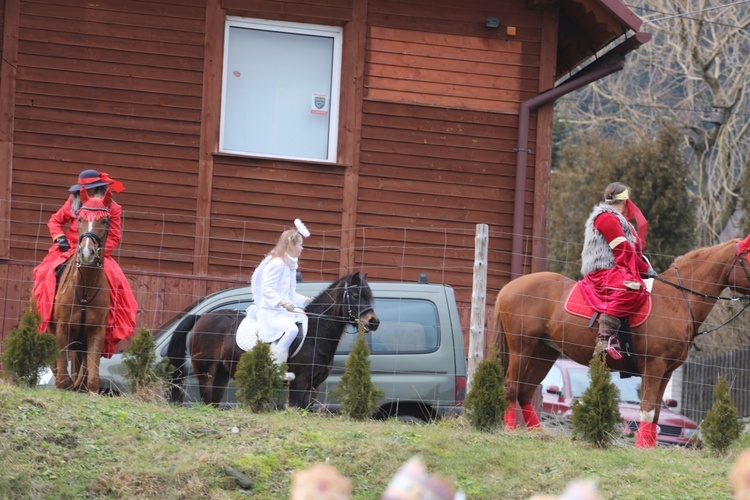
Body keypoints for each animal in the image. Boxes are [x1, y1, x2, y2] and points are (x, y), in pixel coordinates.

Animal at [48, 191, 111, 394]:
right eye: (80, 218)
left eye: (104, 220)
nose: (86, 253)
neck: (84, 288)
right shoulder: (62, 328)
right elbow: (63, 379)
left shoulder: (96, 331)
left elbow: (91, 380)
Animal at [163, 272, 376, 408]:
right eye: (355, 295)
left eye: (369, 297)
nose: (374, 322)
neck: (316, 334)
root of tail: (203, 316)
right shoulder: (299, 382)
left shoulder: (314, 386)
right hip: (206, 371)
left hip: (221, 374)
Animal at [494, 236, 750, 448]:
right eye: (748, 257)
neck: (677, 299)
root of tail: (509, 287)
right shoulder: (654, 367)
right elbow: (647, 410)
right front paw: (643, 448)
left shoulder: (666, 372)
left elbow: (656, 413)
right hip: (522, 349)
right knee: (511, 387)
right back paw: (510, 430)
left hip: (544, 353)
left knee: (525, 391)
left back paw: (537, 434)